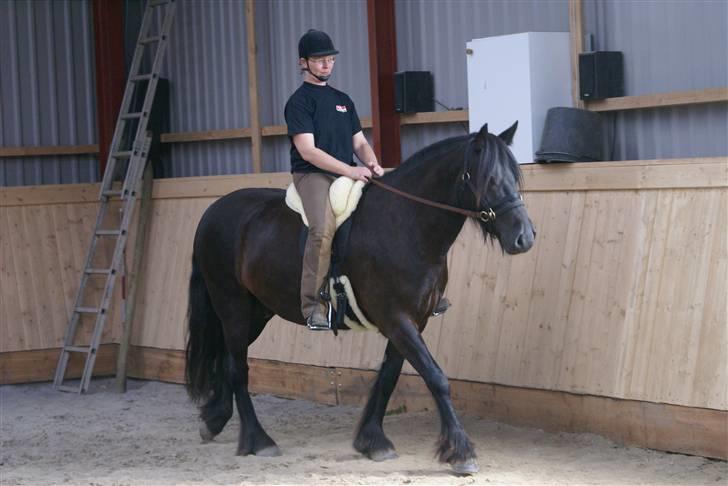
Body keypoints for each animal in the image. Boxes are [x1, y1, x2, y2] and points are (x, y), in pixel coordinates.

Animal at [184, 121, 535, 474]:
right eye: (489, 179)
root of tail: (213, 211)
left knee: (227, 360)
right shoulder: (397, 319)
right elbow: (435, 377)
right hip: (233, 307)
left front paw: (372, 440)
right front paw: (461, 452)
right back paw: (258, 440)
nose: (525, 237)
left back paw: (214, 420)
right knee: (237, 369)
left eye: (514, 176)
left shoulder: (412, 320)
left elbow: (388, 377)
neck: (405, 223)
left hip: (256, 312)